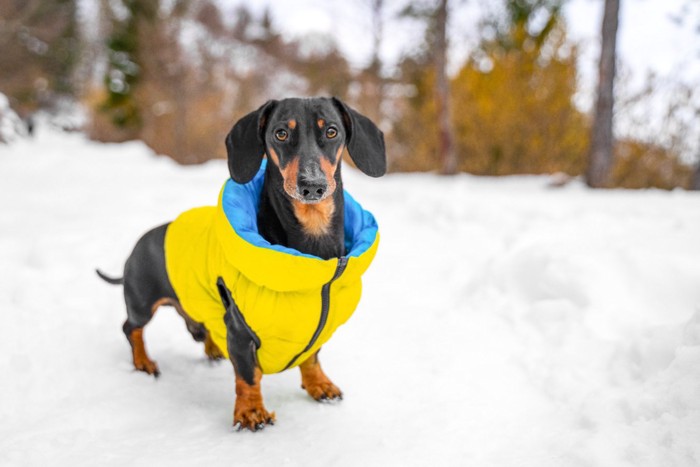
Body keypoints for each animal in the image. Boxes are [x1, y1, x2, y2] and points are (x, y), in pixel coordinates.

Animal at [96, 98, 386, 432]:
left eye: (332, 131)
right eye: (280, 133)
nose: (312, 186)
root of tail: (136, 249)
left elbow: (312, 357)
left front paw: (319, 385)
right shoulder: (239, 330)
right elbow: (248, 375)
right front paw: (251, 412)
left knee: (195, 329)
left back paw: (210, 347)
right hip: (142, 303)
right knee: (131, 328)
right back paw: (144, 362)